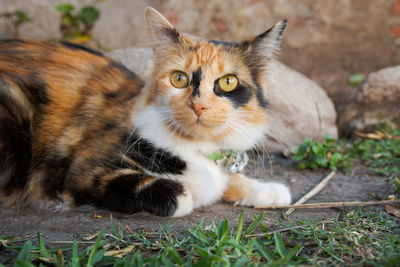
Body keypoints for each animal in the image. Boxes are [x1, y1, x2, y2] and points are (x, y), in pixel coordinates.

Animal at [0, 7, 290, 218]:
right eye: (179, 79)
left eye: (228, 82)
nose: (198, 105)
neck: (198, 148)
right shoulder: (84, 170)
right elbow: (181, 194)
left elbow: (232, 181)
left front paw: (269, 191)